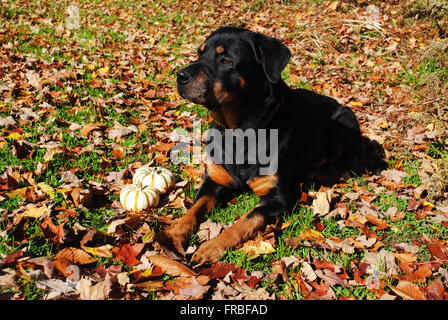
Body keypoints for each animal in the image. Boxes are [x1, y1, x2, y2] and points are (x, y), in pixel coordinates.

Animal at [158, 26, 360, 268]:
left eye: (225, 60)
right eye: (200, 52)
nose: (180, 75)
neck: (238, 132)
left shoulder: (279, 198)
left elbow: (246, 219)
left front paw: (211, 247)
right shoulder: (214, 180)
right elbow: (194, 209)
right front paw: (173, 234)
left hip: (346, 118)